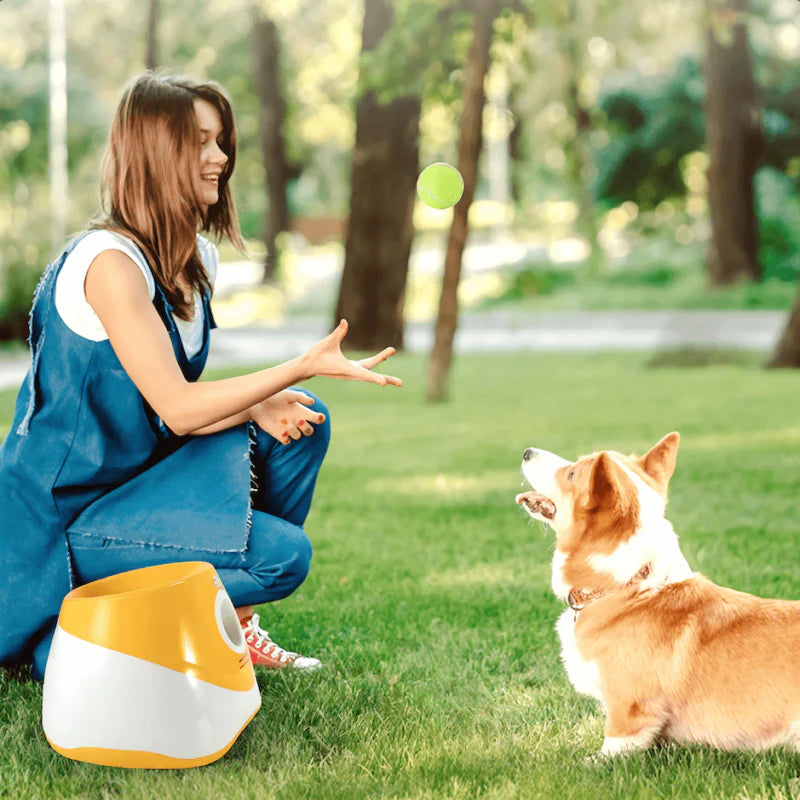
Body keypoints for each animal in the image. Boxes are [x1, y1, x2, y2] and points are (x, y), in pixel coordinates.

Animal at [516, 434, 800, 760]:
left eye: (572, 473)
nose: (526, 451)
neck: (628, 587)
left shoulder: (630, 712)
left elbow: (611, 746)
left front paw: (587, 760)